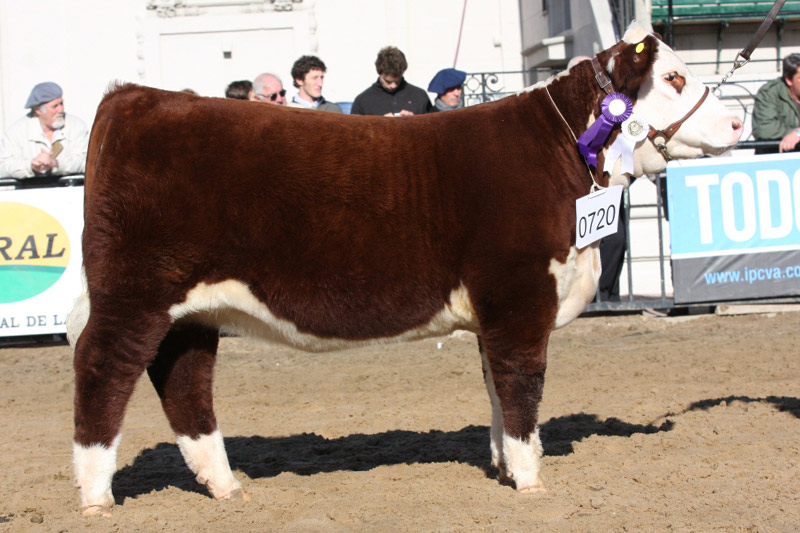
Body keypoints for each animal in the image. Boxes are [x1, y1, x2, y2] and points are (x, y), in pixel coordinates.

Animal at [69, 21, 744, 516]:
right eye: (675, 76)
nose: (738, 120)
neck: (561, 149)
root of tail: (136, 97)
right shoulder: (520, 294)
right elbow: (522, 387)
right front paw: (530, 480)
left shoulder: (494, 310)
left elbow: (495, 389)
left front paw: (503, 467)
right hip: (133, 294)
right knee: (103, 369)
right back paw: (96, 496)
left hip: (191, 311)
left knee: (184, 381)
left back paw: (225, 485)